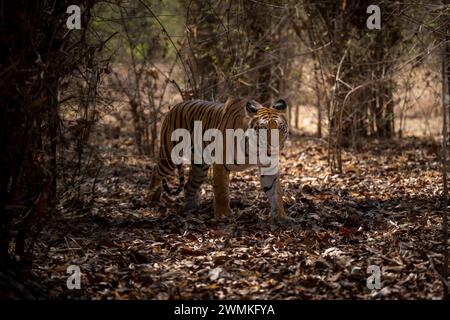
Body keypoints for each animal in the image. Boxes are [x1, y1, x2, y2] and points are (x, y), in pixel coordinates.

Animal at [146, 97, 290, 222]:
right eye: (264, 129)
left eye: (280, 128)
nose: (275, 146)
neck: (256, 149)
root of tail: (175, 106)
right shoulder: (221, 164)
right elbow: (221, 191)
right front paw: (223, 215)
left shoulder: (269, 166)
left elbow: (275, 192)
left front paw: (281, 216)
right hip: (169, 155)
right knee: (156, 171)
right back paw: (151, 199)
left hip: (200, 167)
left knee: (189, 186)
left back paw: (191, 209)